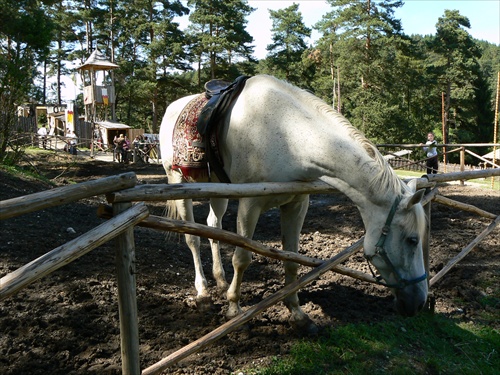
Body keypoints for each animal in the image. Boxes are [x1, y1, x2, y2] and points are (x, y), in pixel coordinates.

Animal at [159, 74, 426, 332]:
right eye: (412, 240)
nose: (419, 303)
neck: (286, 134)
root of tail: (172, 107)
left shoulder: (297, 204)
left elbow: (292, 259)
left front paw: (298, 314)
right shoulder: (249, 205)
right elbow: (241, 258)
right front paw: (234, 310)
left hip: (218, 189)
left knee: (213, 227)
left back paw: (221, 280)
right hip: (177, 182)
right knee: (192, 238)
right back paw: (203, 293)